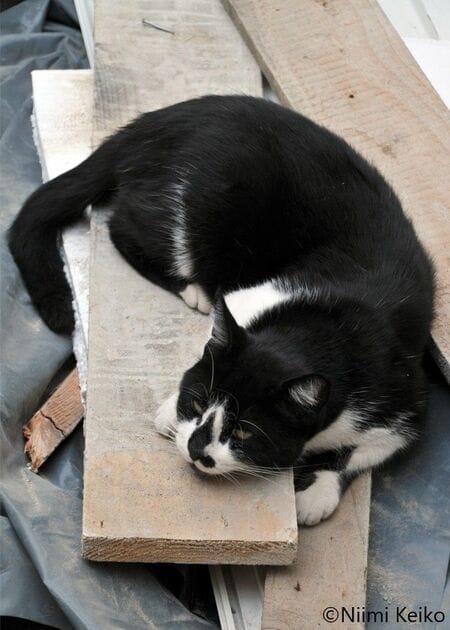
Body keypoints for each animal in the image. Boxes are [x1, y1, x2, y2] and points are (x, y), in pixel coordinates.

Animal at [9, 95, 434, 525]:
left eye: (244, 432)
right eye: (198, 404)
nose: (197, 449)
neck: (328, 326)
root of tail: (170, 116)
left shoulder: (404, 406)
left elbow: (357, 455)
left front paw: (318, 493)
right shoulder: (258, 294)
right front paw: (171, 410)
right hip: (198, 215)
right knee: (121, 226)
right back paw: (192, 287)